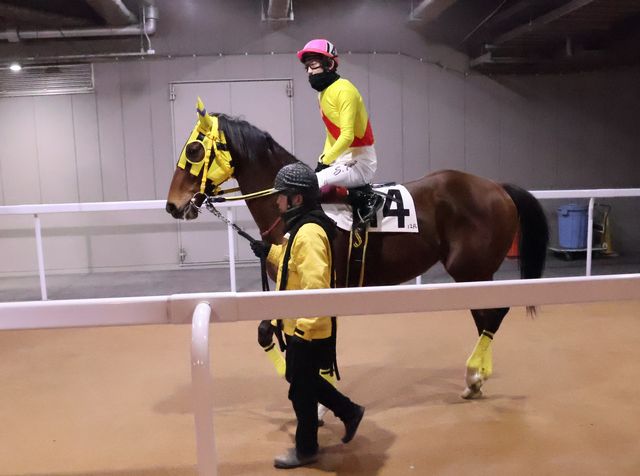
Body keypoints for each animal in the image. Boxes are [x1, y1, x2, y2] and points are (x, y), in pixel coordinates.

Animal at [166, 101, 549, 398]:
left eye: (194, 150)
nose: (173, 205)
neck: (295, 204)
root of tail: (497, 187)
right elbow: (267, 332)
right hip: (472, 275)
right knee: (484, 316)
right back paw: (477, 378)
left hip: (472, 269)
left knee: (495, 312)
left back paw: (473, 372)